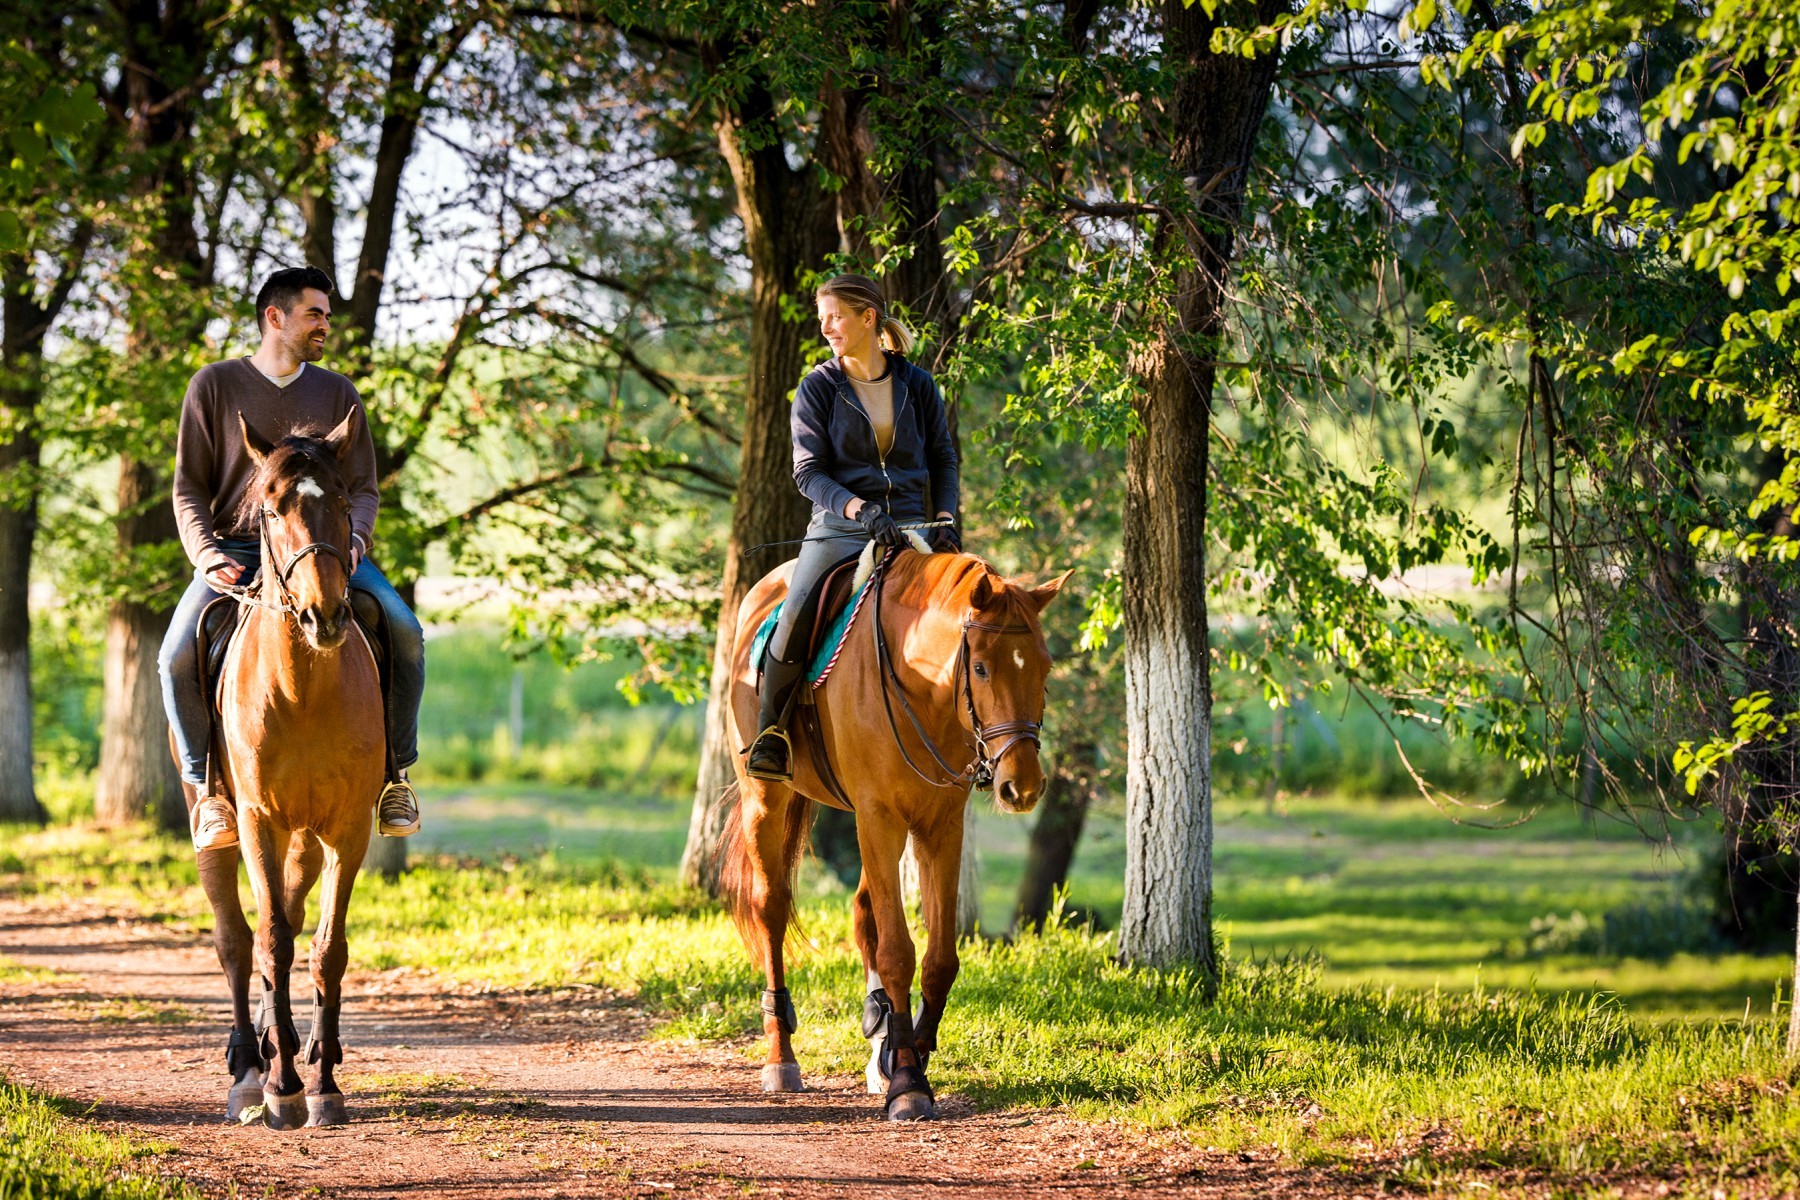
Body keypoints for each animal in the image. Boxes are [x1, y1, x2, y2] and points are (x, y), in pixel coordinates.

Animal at [182, 413, 387, 1129]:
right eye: (271, 509)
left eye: (343, 503)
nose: (326, 615)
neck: (302, 691)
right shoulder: (259, 823)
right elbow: (268, 941)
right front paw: (281, 1087)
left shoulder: (346, 830)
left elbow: (326, 948)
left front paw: (322, 1082)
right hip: (218, 826)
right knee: (237, 941)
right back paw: (250, 1065)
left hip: (306, 839)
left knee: (294, 923)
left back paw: (288, 1043)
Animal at [720, 550, 1065, 1122]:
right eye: (980, 667)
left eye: (1044, 665)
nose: (1024, 787)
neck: (920, 685)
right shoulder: (879, 818)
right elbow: (899, 953)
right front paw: (907, 1081)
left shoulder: (938, 826)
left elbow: (938, 959)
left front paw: (907, 1053)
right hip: (767, 801)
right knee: (771, 909)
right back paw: (781, 1059)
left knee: (864, 916)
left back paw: (877, 1041)